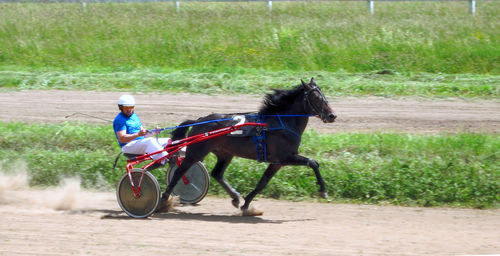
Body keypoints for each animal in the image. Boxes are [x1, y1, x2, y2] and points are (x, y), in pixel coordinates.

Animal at [159, 77, 336, 214]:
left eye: (324, 96)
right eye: (316, 98)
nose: (332, 115)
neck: (282, 123)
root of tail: (199, 120)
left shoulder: (277, 162)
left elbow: (262, 182)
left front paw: (246, 204)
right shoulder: (285, 157)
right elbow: (313, 163)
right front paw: (323, 191)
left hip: (225, 153)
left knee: (217, 173)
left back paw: (235, 197)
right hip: (197, 152)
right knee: (180, 172)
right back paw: (163, 201)